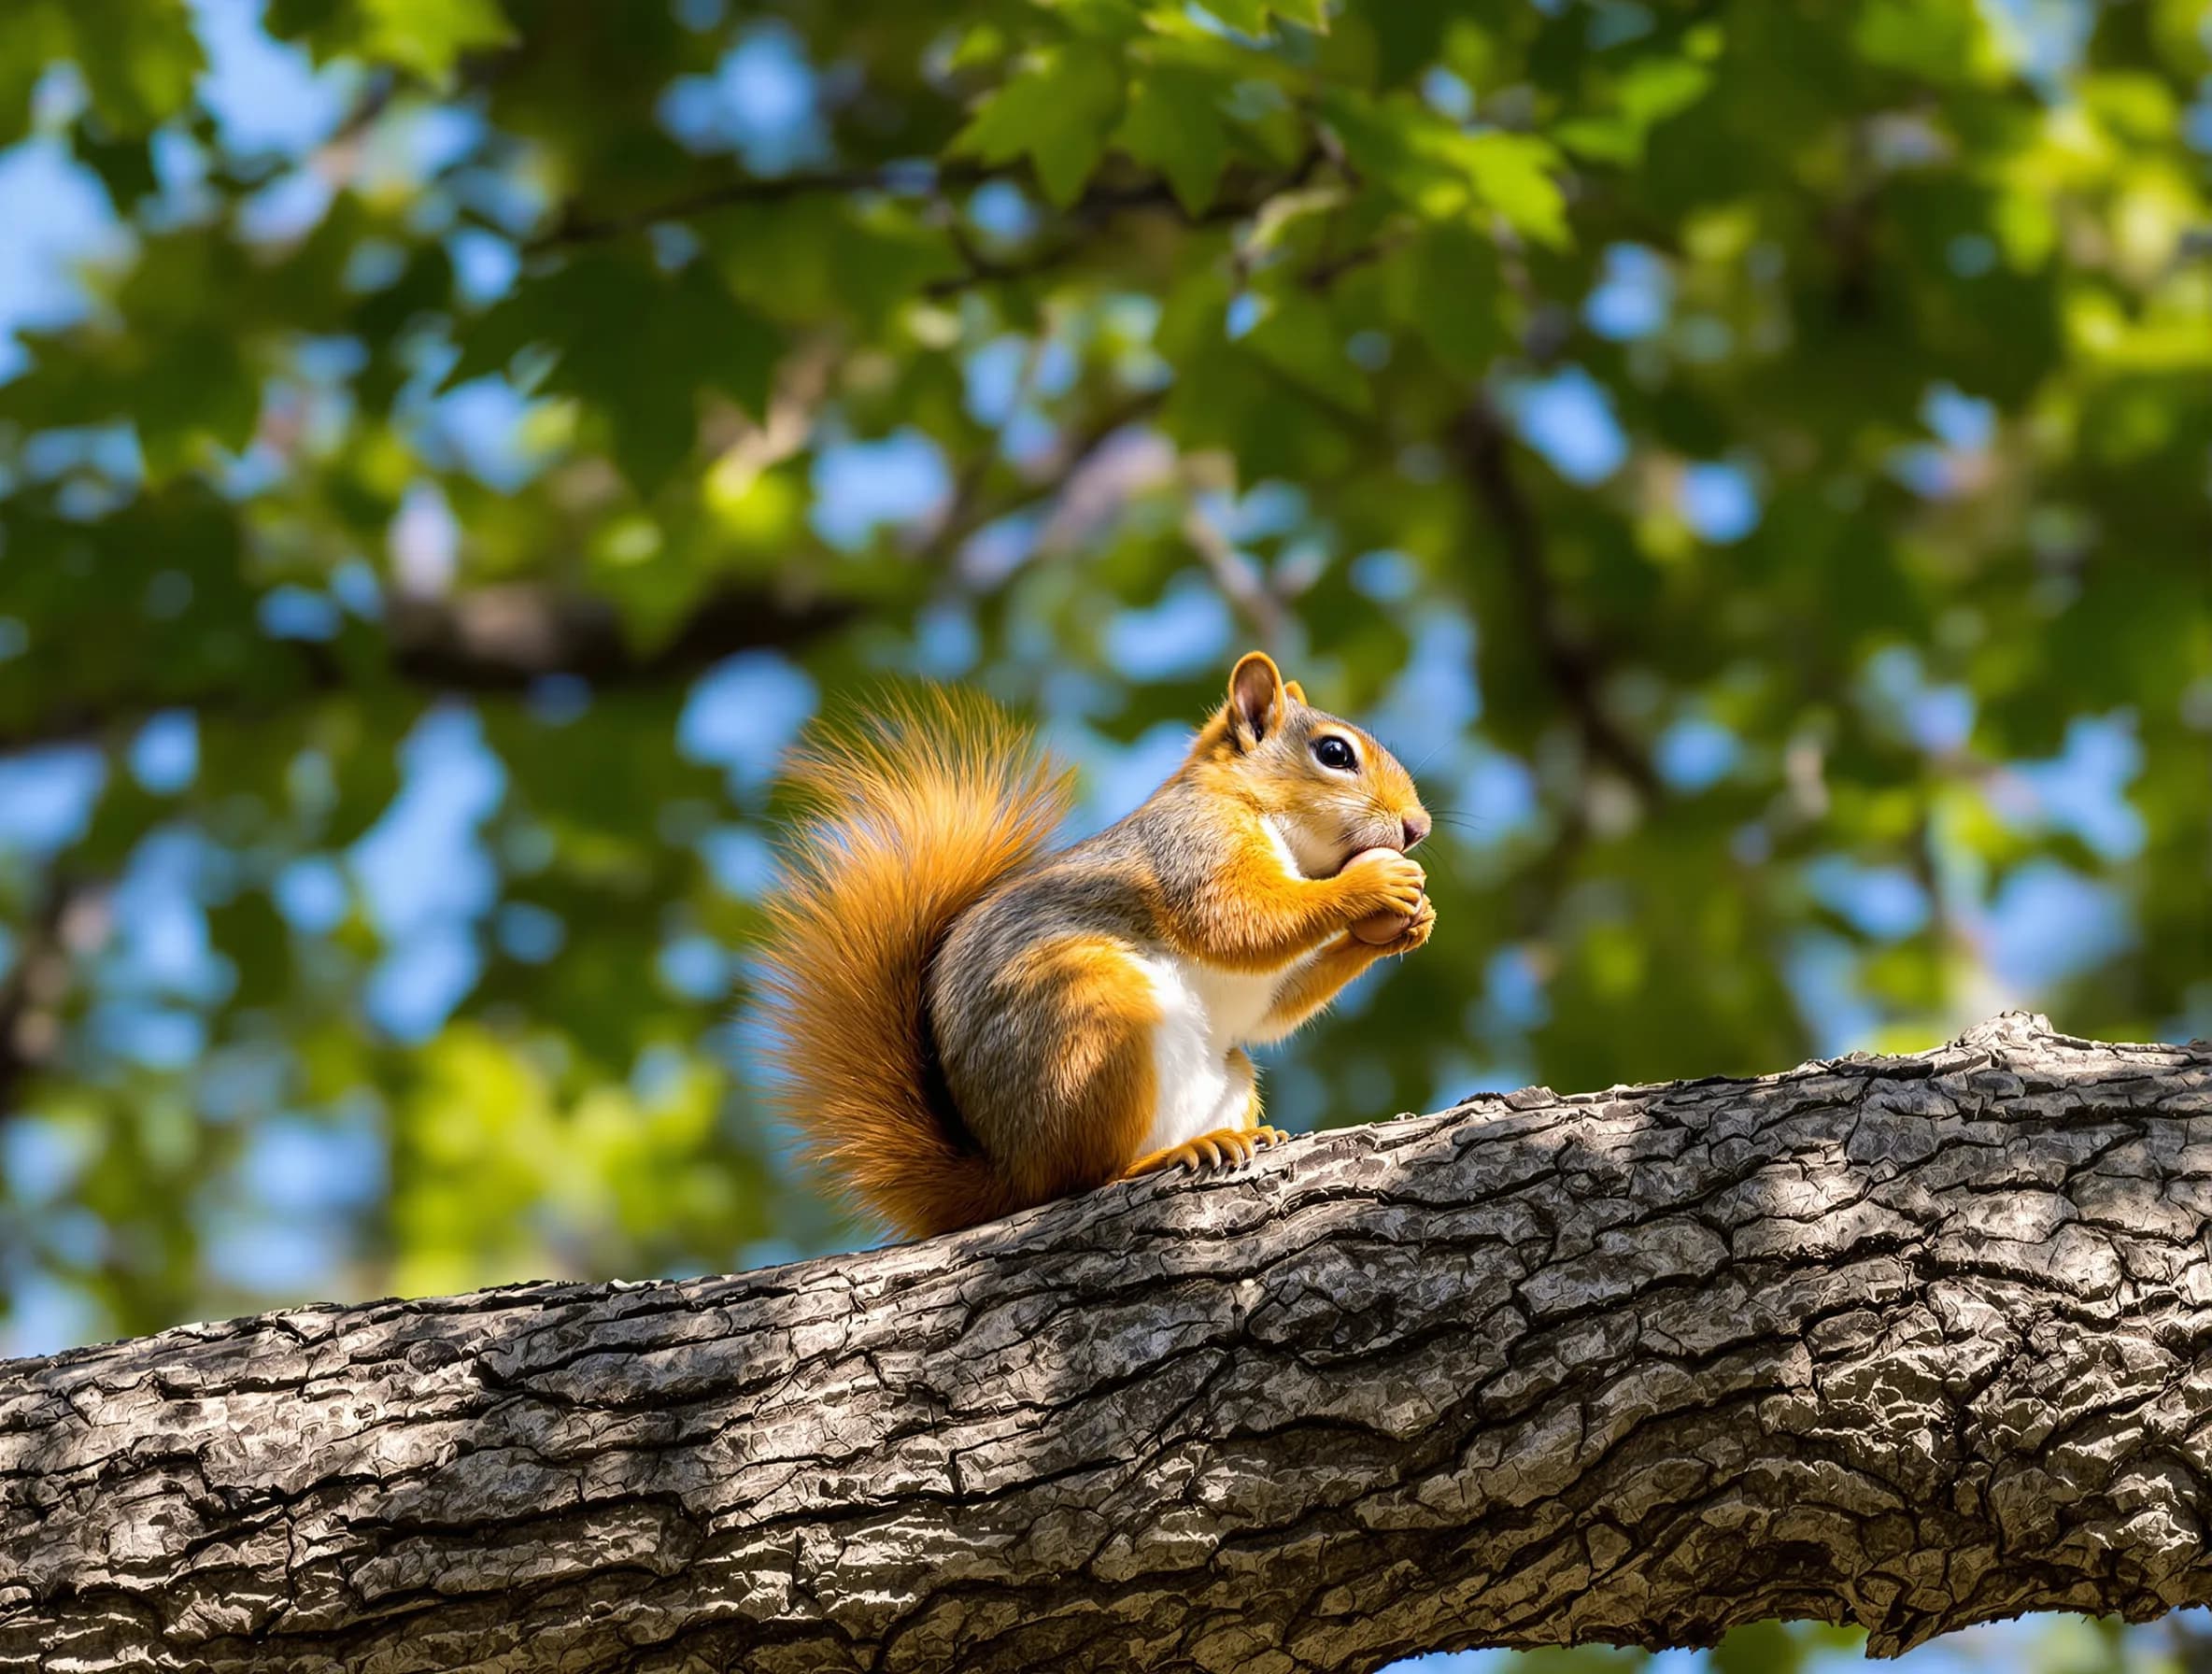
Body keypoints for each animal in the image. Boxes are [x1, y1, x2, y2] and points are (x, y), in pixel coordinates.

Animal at [758, 651, 1434, 1240]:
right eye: (1334, 753)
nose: (1419, 827)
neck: (1265, 818)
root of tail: (1010, 1174)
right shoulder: (1193, 847)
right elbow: (1240, 922)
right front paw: (1371, 884)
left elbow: (1274, 1007)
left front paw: (1410, 923)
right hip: (1093, 1012)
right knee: (1085, 1178)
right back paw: (1169, 1156)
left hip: (1224, 1069)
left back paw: (1244, 1138)